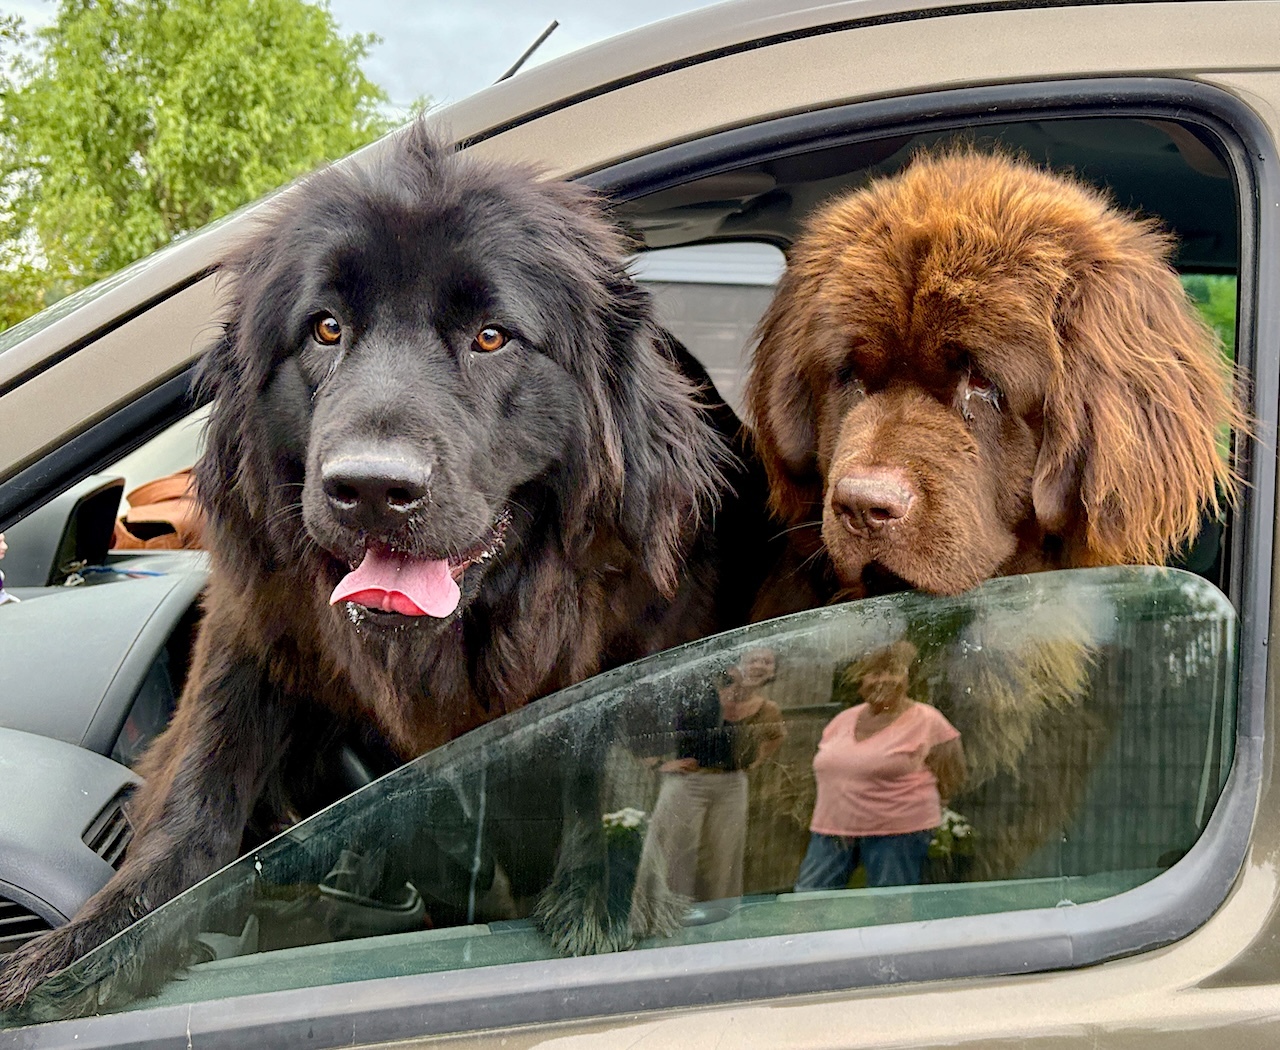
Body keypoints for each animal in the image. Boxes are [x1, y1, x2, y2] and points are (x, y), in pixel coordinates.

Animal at [0, 124, 765, 1013]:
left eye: (492, 336)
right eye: (326, 329)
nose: (370, 487)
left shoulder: (643, 626)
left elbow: (616, 740)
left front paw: (606, 889)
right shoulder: (253, 623)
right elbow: (200, 783)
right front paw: (91, 948)